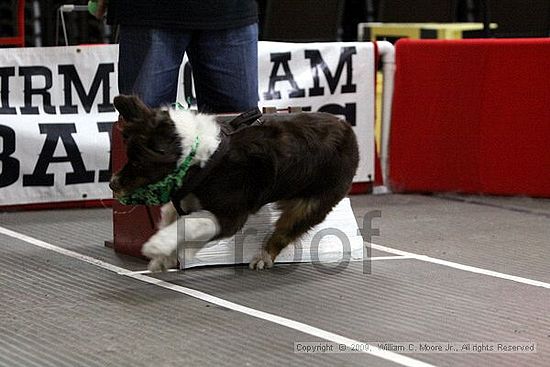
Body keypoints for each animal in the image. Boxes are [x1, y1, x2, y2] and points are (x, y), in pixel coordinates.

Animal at [111, 95, 362, 272]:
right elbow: (172, 216)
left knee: (285, 230)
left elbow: (189, 224)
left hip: (313, 202)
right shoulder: (187, 201)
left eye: (138, 162)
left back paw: (262, 257)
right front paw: (167, 257)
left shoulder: (230, 215)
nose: (113, 185)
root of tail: (347, 129)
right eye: (128, 156)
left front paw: (158, 245)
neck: (200, 161)